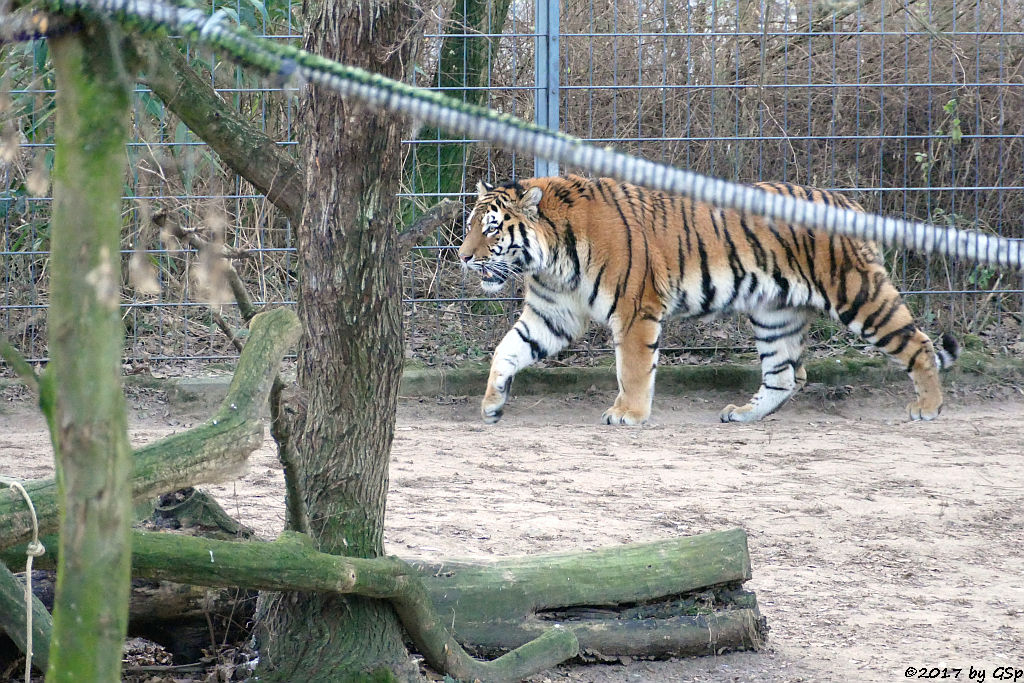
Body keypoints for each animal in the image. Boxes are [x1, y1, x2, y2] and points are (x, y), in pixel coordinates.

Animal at [458, 174, 958, 423]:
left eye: (492, 230)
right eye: (470, 225)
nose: (462, 257)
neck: (551, 260)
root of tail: (852, 204)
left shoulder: (635, 310)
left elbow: (633, 370)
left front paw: (628, 414)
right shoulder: (552, 314)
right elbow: (507, 351)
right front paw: (491, 404)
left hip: (858, 294)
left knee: (918, 343)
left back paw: (928, 408)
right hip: (774, 315)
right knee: (785, 375)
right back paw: (744, 415)